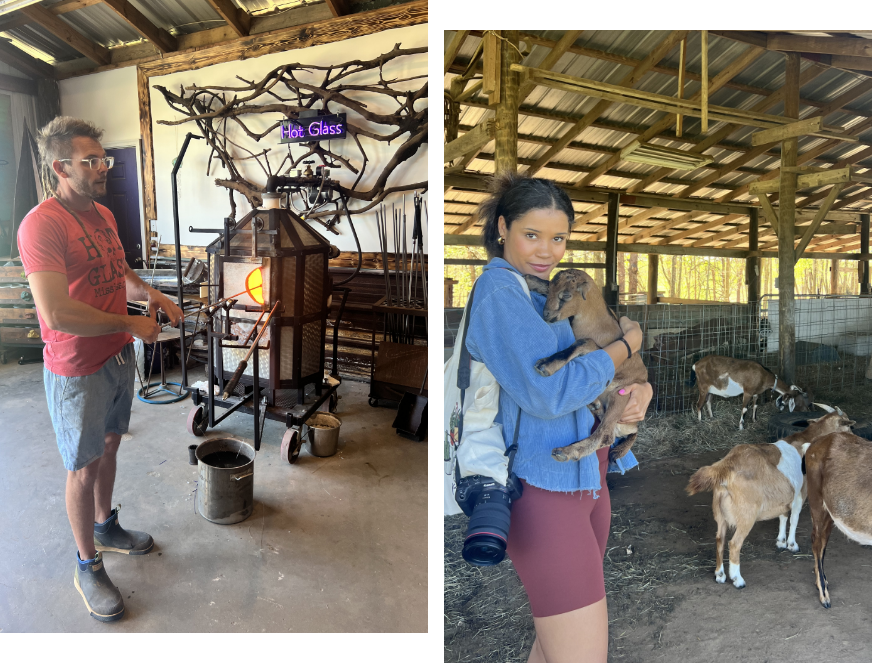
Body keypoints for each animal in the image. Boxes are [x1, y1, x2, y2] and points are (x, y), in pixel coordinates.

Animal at [524, 268, 648, 464]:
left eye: (566, 295)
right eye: (550, 289)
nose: (546, 315)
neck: (594, 322)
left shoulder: (600, 350)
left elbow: (583, 342)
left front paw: (546, 364)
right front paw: (530, 280)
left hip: (620, 395)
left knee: (607, 435)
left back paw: (567, 452)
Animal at [684, 410, 856, 592]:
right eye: (849, 427)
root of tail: (726, 467)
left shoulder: (784, 497)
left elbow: (783, 516)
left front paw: (780, 541)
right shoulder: (800, 494)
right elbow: (794, 518)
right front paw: (792, 545)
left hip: (720, 514)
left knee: (719, 539)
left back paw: (720, 575)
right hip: (746, 516)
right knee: (734, 544)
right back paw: (738, 580)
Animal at [800, 428, 872, 608]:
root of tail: (815, 443)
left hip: (831, 511)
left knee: (823, 539)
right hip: (816, 500)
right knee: (816, 540)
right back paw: (824, 595)